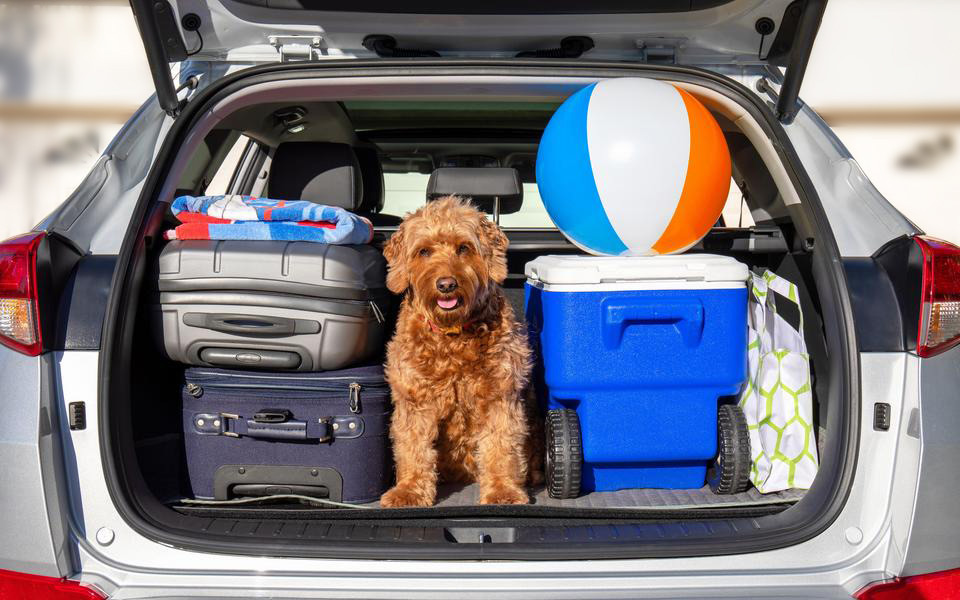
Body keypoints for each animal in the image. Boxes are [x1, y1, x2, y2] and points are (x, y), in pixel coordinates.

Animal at [380, 197, 540, 506]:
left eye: (464, 248)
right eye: (424, 251)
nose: (446, 285)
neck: (452, 335)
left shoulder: (500, 395)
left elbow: (501, 447)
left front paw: (502, 491)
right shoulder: (414, 398)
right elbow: (413, 447)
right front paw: (409, 490)